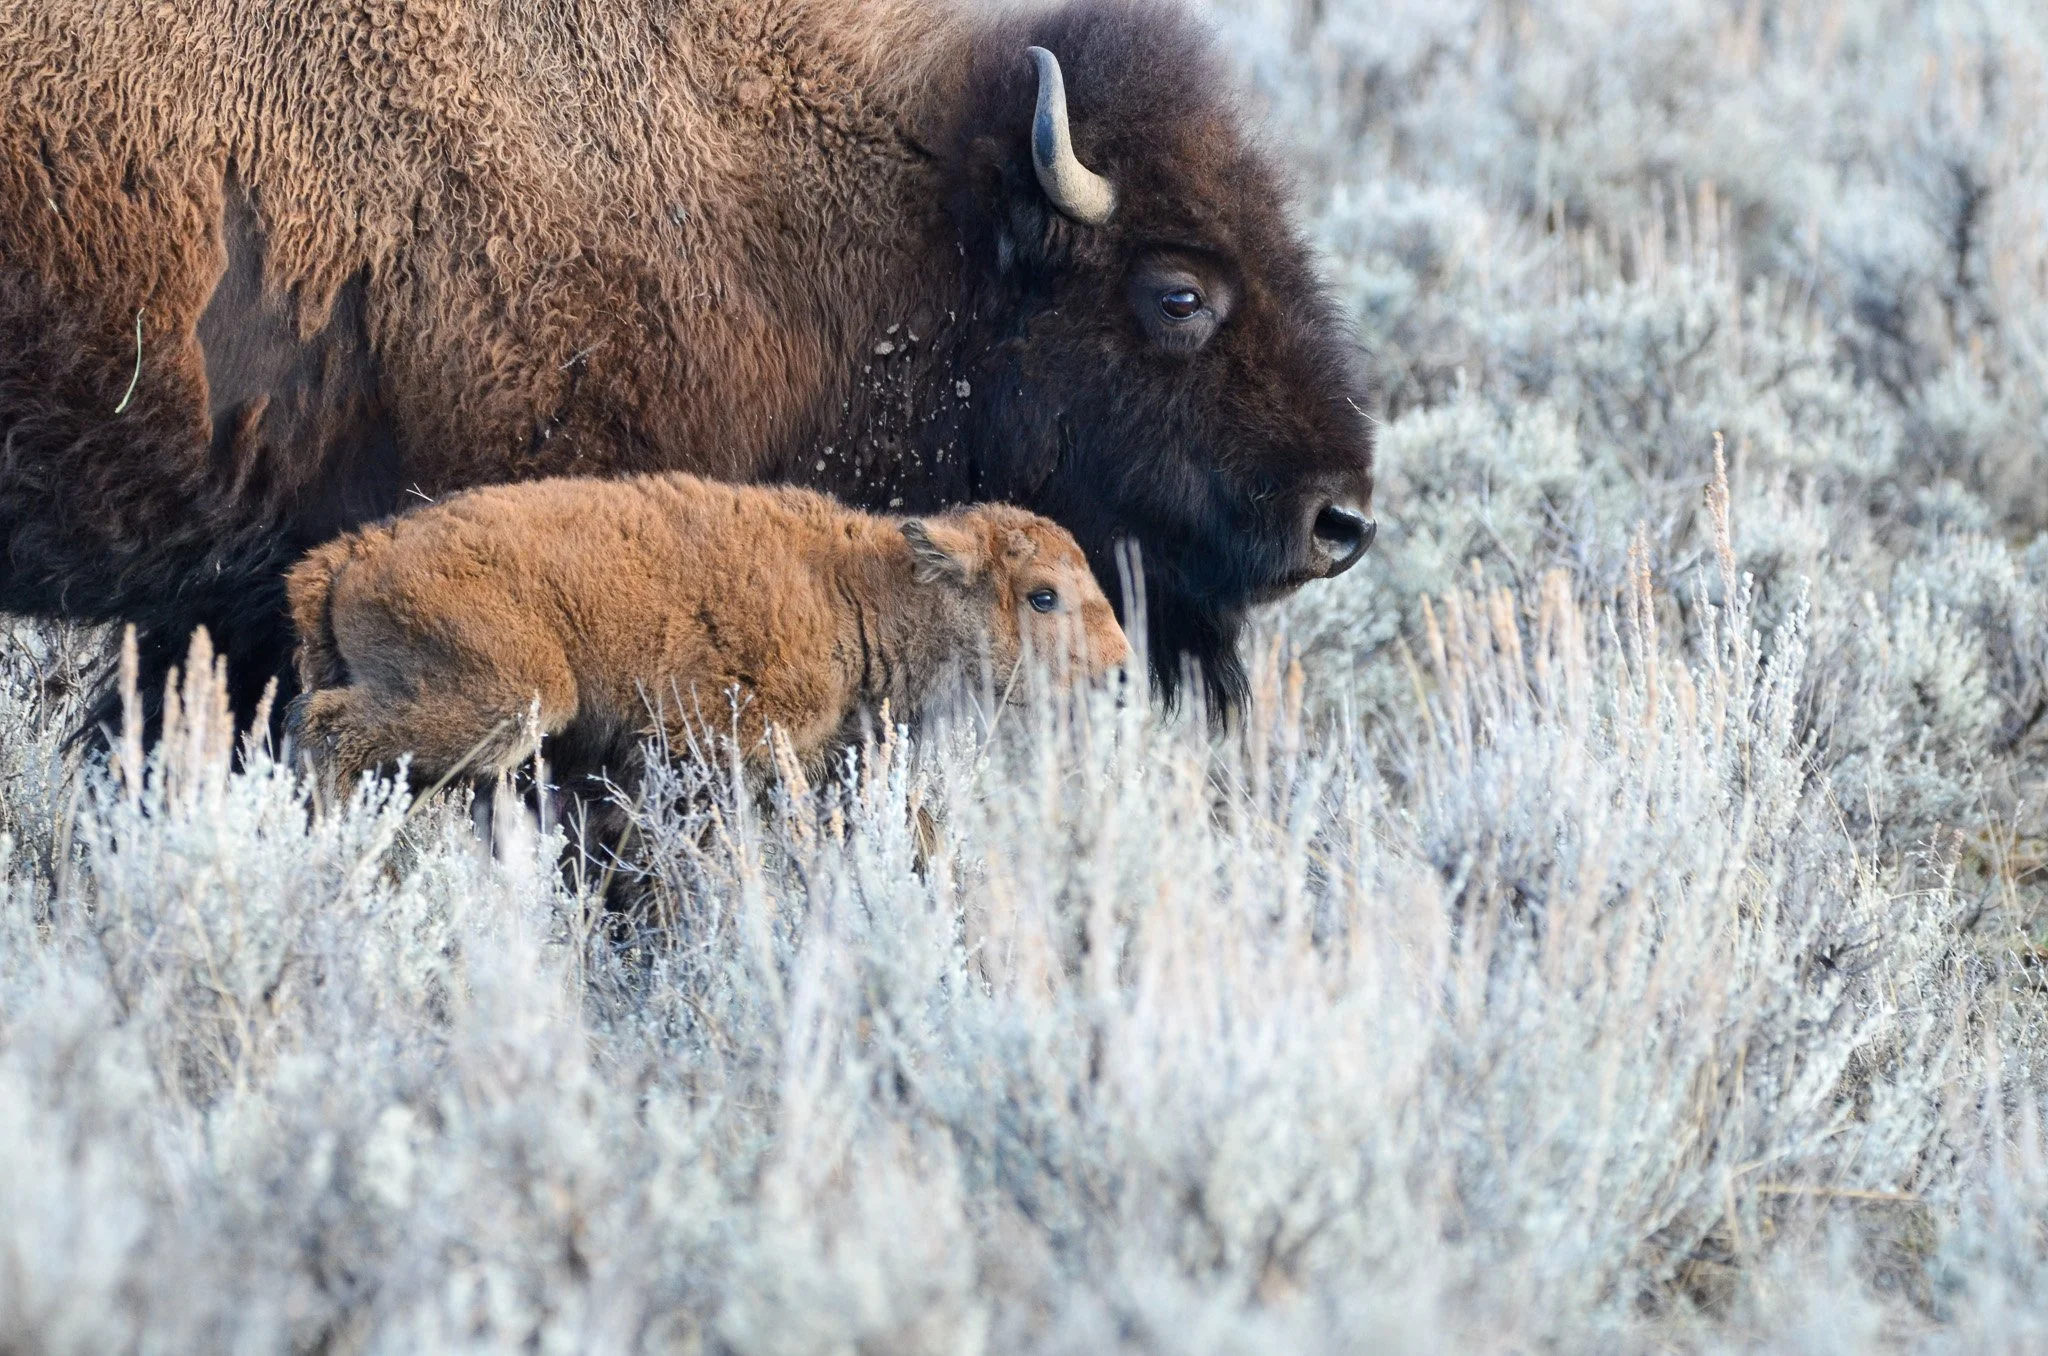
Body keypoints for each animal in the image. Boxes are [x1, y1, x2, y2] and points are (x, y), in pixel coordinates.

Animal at [284, 472, 1129, 799]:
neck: (850, 585)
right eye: (1043, 596)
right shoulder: (716, 742)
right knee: (329, 731)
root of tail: (352, 555)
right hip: (513, 698)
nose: (1122, 669)